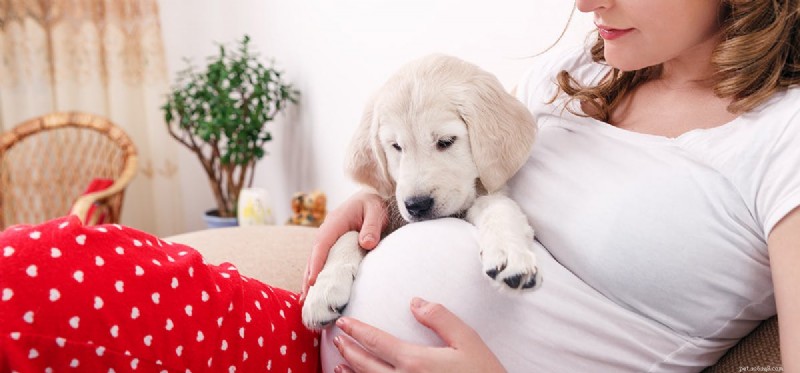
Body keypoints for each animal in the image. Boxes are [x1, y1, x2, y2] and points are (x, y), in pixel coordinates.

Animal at [304, 55, 540, 328]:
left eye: (446, 141)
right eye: (396, 146)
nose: (417, 205)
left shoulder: (485, 194)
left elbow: (499, 207)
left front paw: (509, 252)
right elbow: (349, 234)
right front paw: (324, 289)